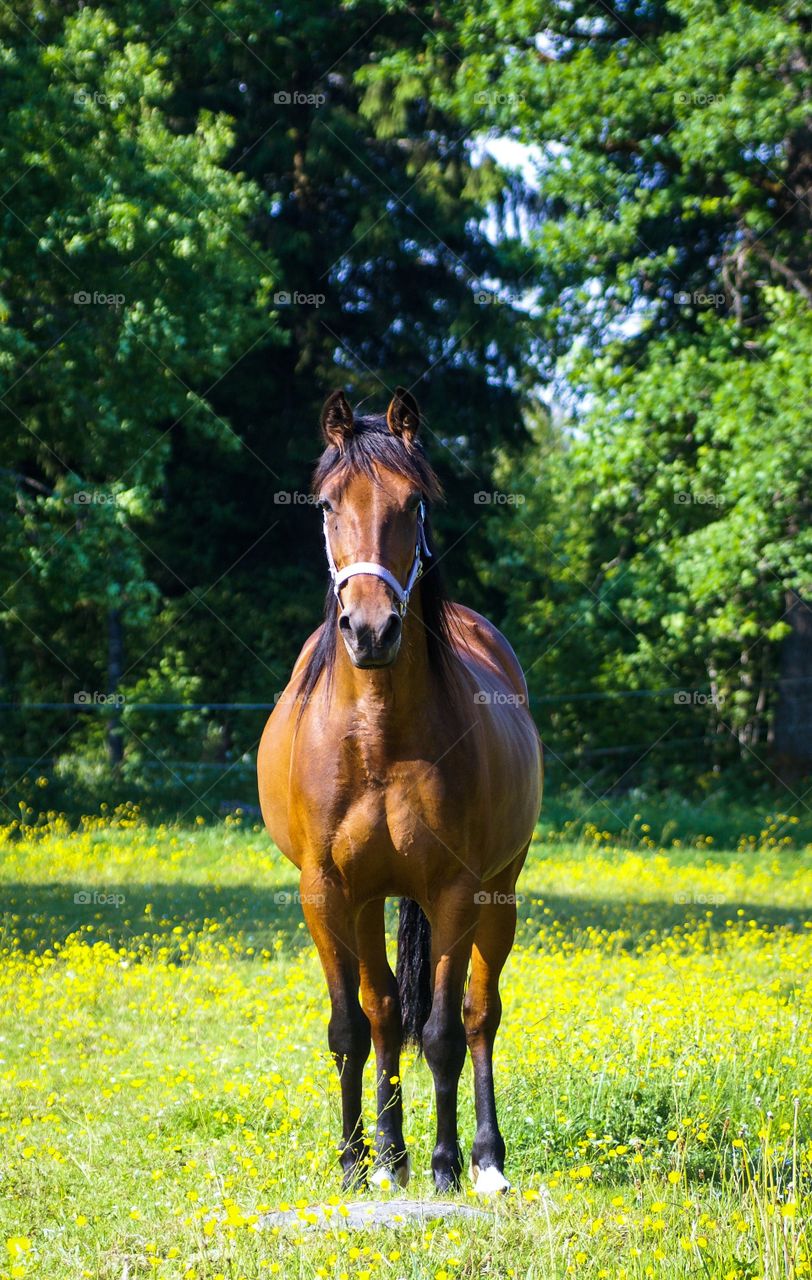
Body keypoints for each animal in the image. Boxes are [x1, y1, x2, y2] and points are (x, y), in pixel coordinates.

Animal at [256, 384, 540, 1192]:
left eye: (413, 502)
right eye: (326, 504)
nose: (371, 628)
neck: (378, 738)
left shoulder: (454, 891)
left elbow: (444, 1031)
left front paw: (449, 1166)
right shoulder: (326, 893)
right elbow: (352, 1024)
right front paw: (358, 1162)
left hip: (498, 893)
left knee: (480, 1015)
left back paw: (485, 1160)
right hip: (367, 901)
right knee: (383, 1010)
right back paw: (389, 1156)